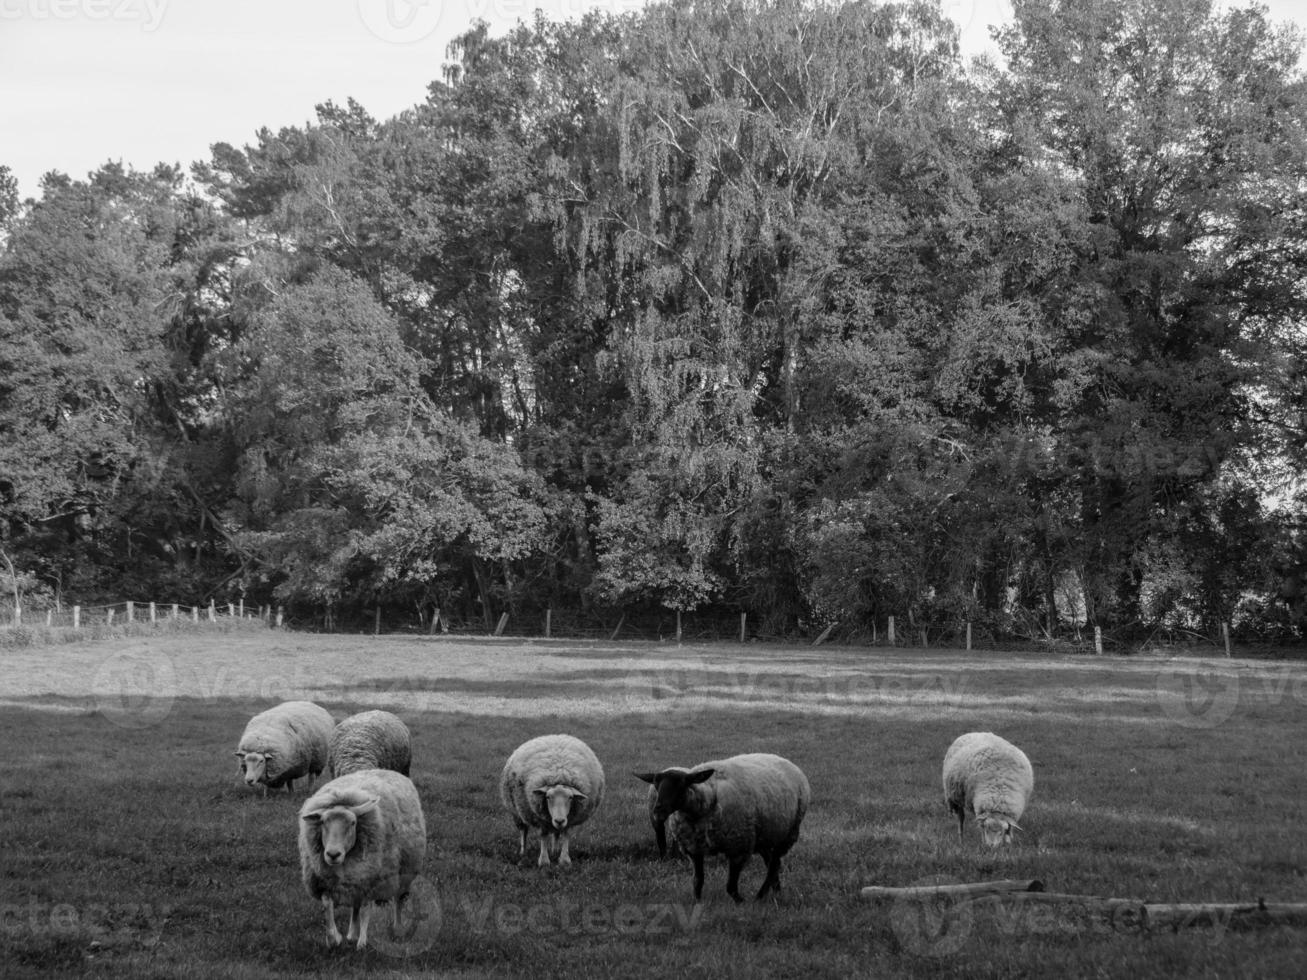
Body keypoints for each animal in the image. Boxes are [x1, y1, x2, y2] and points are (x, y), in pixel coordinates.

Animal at [299, 768, 426, 951]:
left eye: (353, 822)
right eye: (322, 822)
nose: (332, 854)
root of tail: (386, 770)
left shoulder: (371, 880)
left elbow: (366, 909)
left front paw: (362, 943)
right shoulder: (324, 881)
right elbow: (327, 907)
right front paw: (334, 939)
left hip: (403, 873)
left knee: (398, 901)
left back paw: (397, 928)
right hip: (357, 879)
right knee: (355, 903)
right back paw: (351, 933)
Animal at [496, 731, 603, 872]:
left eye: (570, 797)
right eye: (547, 797)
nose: (559, 820)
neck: (559, 772)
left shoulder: (570, 818)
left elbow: (566, 833)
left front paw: (564, 860)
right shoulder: (539, 816)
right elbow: (543, 835)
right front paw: (544, 861)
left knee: (556, 834)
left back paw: (554, 851)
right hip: (517, 811)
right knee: (523, 831)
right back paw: (523, 852)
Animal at [632, 752, 805, 904]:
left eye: (681, 785)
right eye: (656, 785)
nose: (658, 810)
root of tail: (782, 759)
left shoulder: (738, 848)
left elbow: (730, 887)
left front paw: (741, 902)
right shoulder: (694, 849)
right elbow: (697, 881)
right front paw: (697, 903)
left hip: (788, 834)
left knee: (774, 864)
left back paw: (760, 896)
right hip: (763, 835)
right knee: (771, 863)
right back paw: (776, 891)